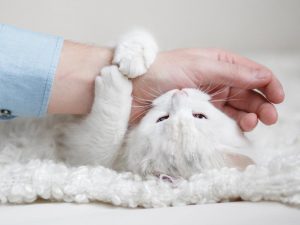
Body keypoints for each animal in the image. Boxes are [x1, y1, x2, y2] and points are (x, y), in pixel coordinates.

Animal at [0, 30, 253, 179]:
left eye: (162, 119)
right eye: (200, 116)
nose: (178, 94)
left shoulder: (83, 156)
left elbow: (105, 136)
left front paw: (116, 82)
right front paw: (134, 53)